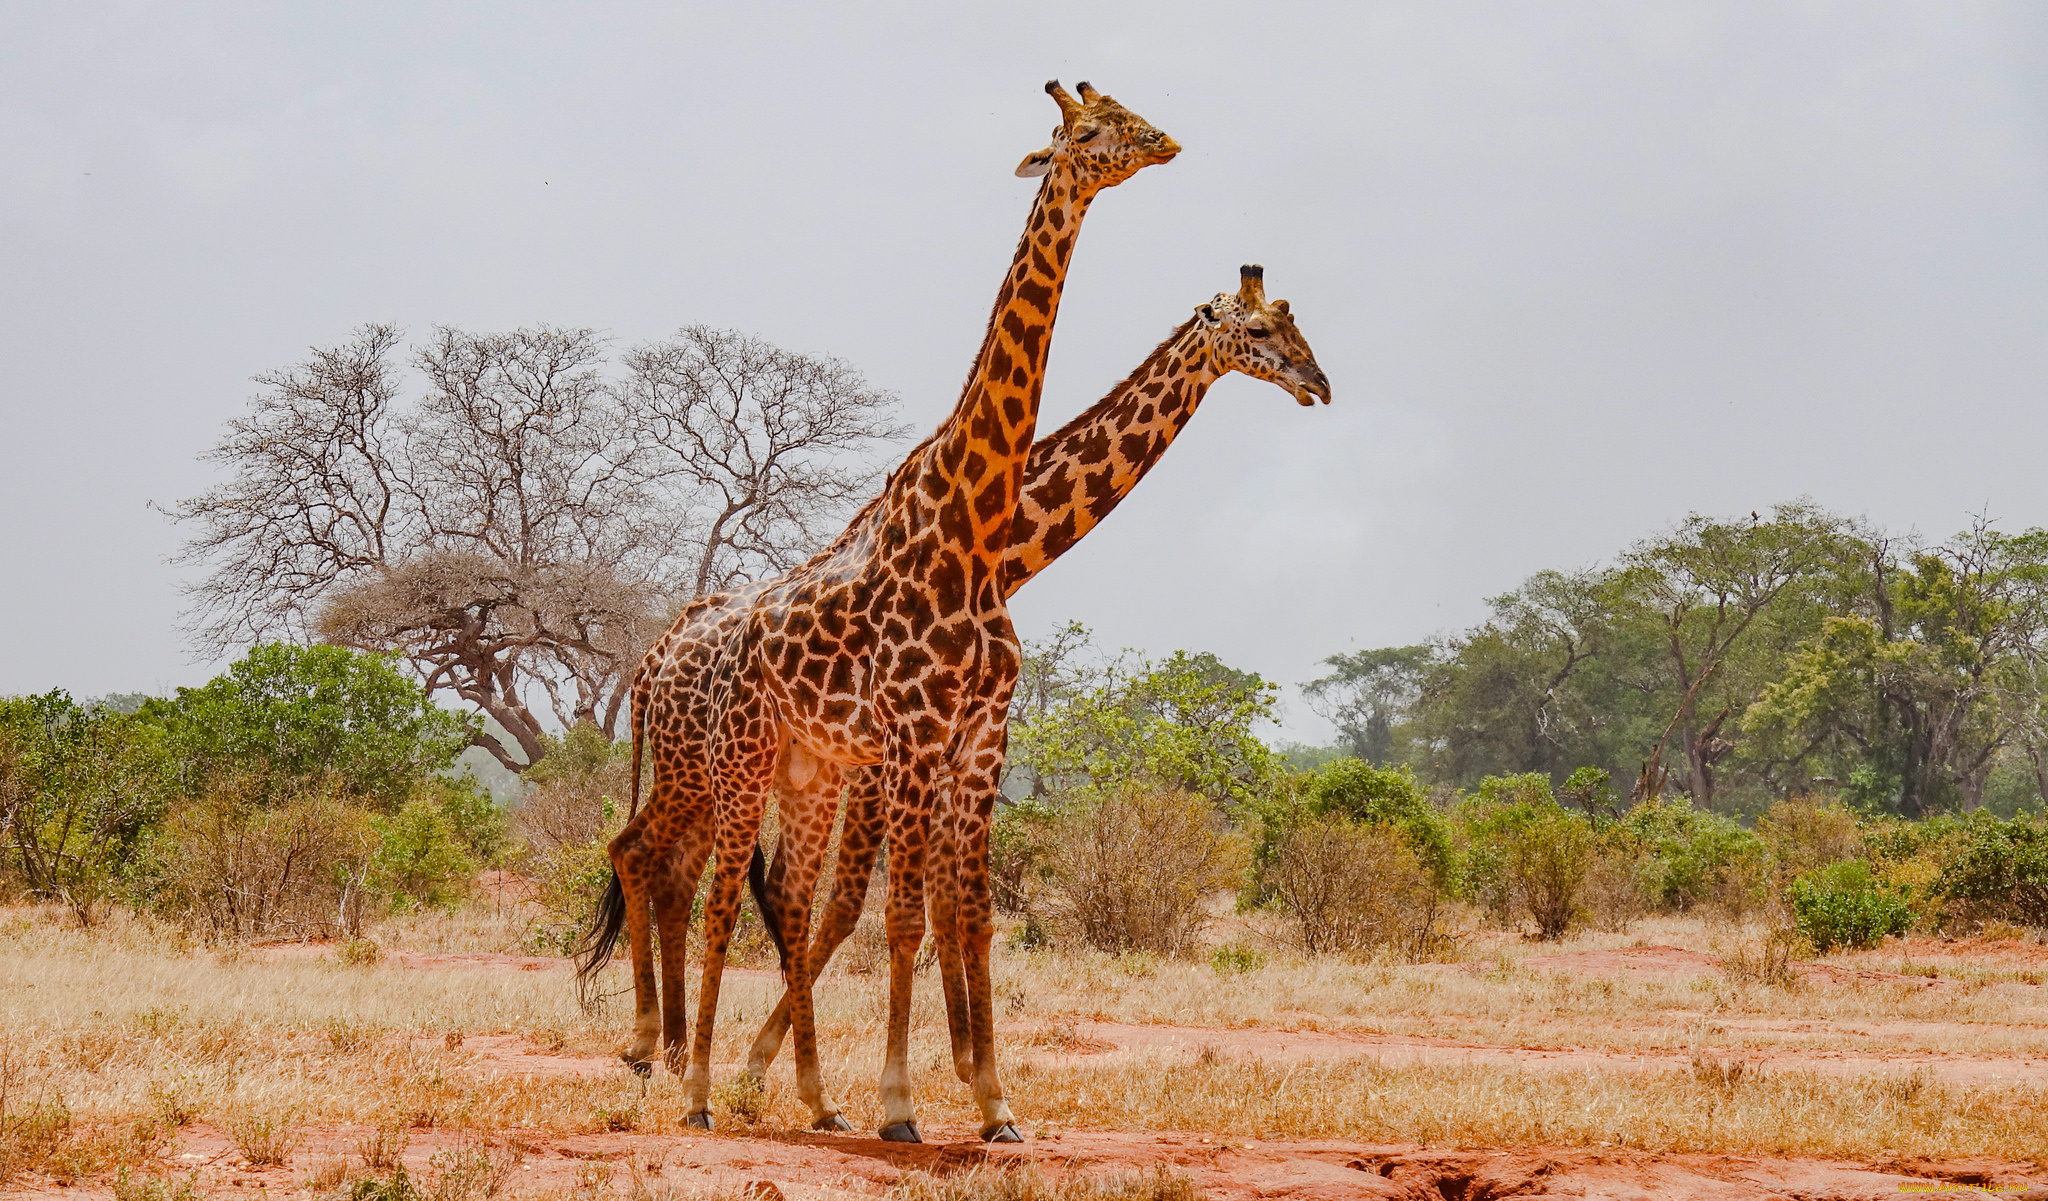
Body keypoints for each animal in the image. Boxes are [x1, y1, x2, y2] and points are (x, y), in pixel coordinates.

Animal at [585, 79, 1179, 1139]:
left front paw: (989, 1100)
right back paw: (688, 1078)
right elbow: (901, 912)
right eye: (1093, 128)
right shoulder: (911, 736)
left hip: (793, 769)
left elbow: (959, 911)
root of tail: (657, 657)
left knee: (727, 881)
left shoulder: (972, 736)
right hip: (730, 765)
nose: (1166, 141)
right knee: (697, 884)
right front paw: (905, 1102)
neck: (977, 529)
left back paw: (763, 1081)